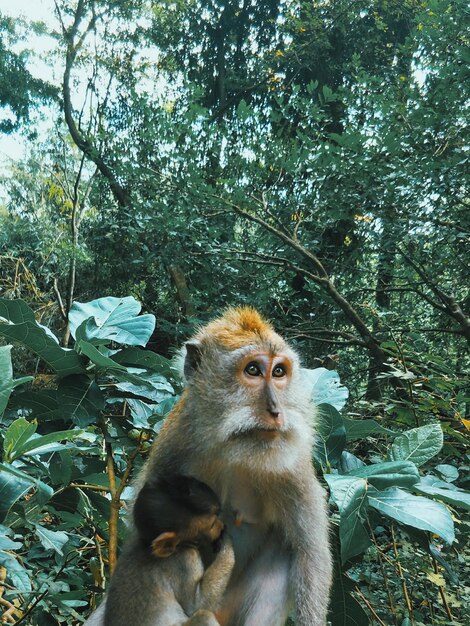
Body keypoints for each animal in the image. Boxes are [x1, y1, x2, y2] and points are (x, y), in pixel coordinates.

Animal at [103, 472, 234, 624]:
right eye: (212, 525)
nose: (221, 525)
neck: (147, 546)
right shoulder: (185, 559)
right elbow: (196, 605)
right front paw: (226, 542)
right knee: (203, 615)